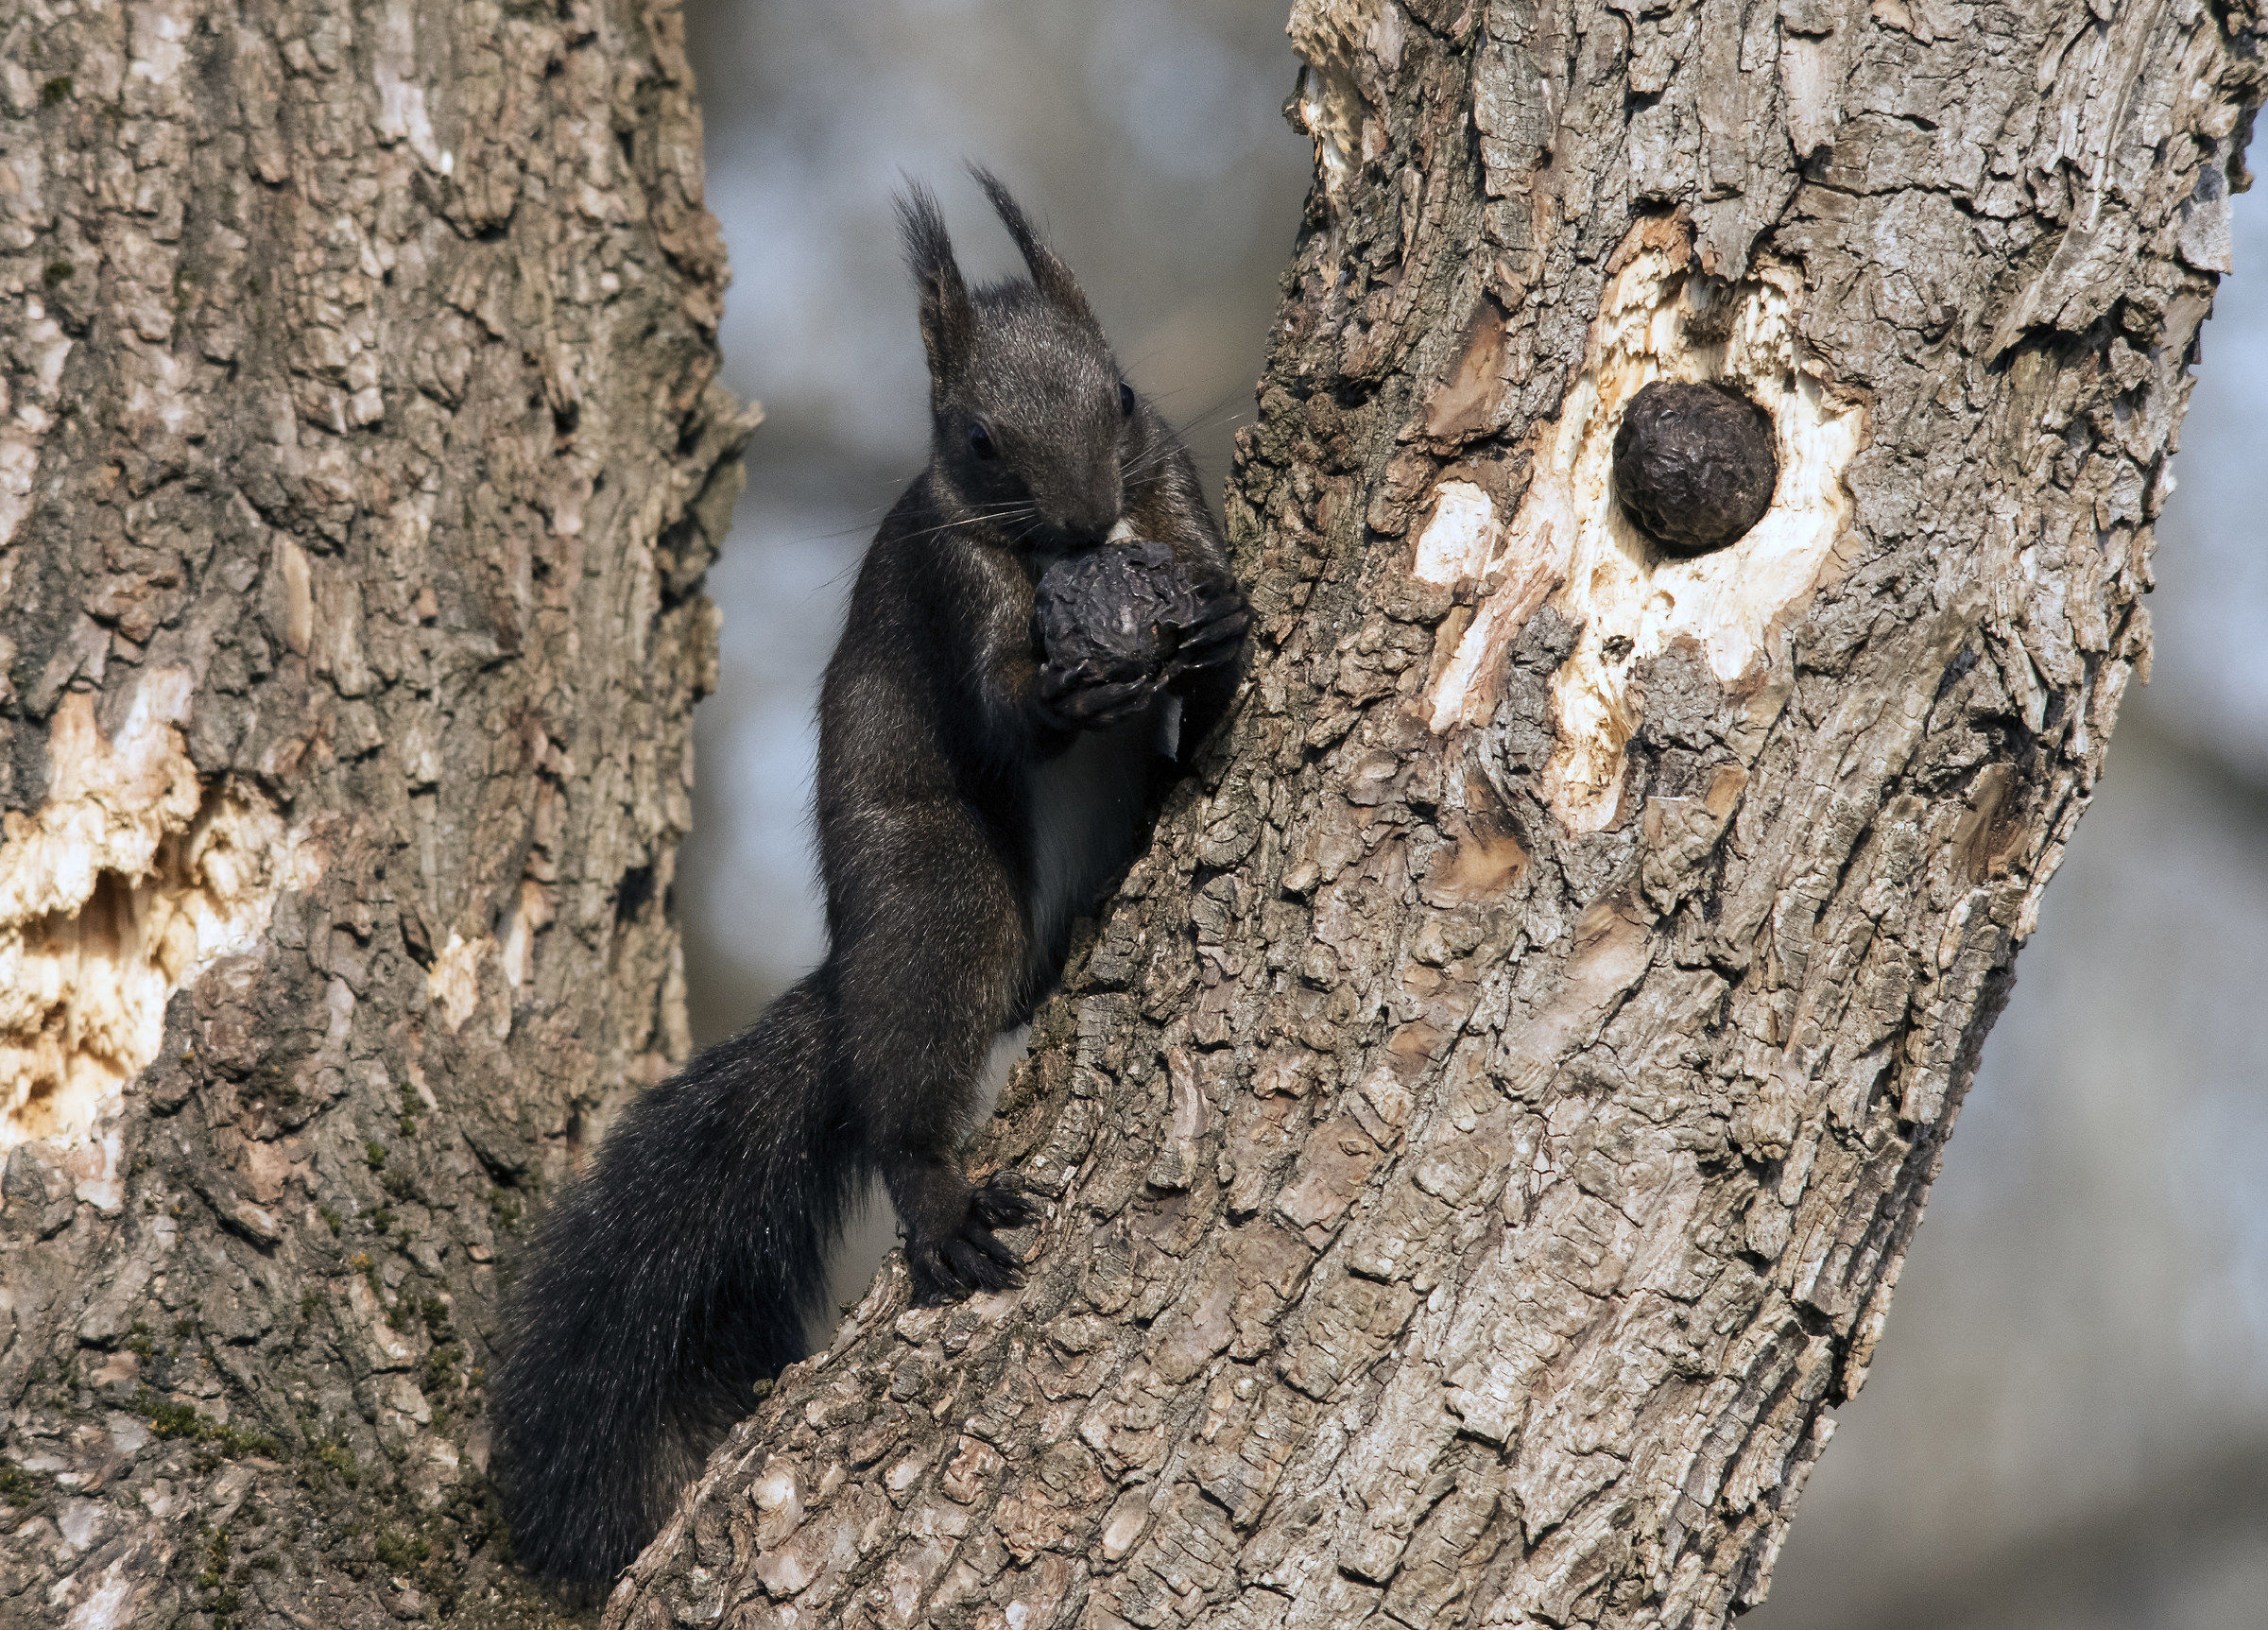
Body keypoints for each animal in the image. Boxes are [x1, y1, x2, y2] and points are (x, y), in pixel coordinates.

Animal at [491, 170, 1251, 1587]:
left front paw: (1221, 624)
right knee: (907, 1078)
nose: (1082, 520)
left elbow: (1211, 591)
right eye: (979, 438)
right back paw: (939, 1196)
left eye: (1122, 395)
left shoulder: (1171, 482)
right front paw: (1064, 688)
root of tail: (851, 974)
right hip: (940, 899)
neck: (1074, 552)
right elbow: (1005, 699)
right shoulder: (955, 579)